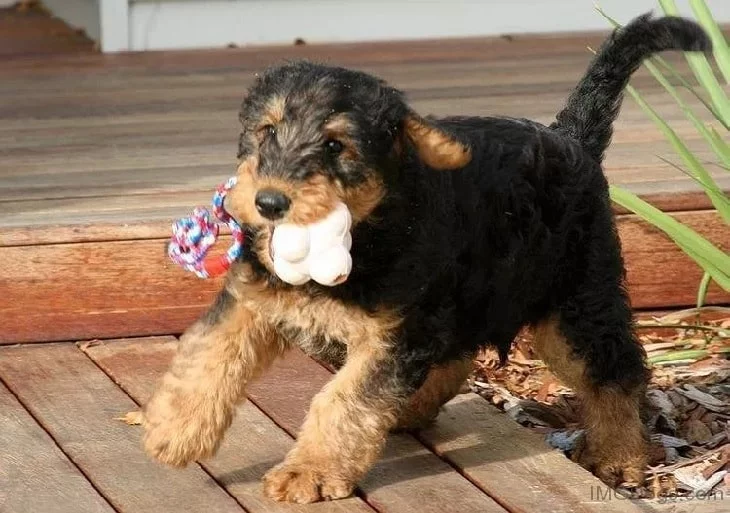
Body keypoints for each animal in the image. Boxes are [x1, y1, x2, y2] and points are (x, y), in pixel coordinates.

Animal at [139, 14, 708, 502]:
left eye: (335, 145)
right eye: (268, 130)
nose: (269, 203)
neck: (369, 227)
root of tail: (571, 138)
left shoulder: (390, 337)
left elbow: (342, 401)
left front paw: (309, 472)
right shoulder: (252, 301)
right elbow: (207, 357)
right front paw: (171, 430)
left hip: (576, 302)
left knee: (615, 372)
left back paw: (619, 456)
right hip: (469, 296)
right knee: (457, 357)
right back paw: (410, 408)